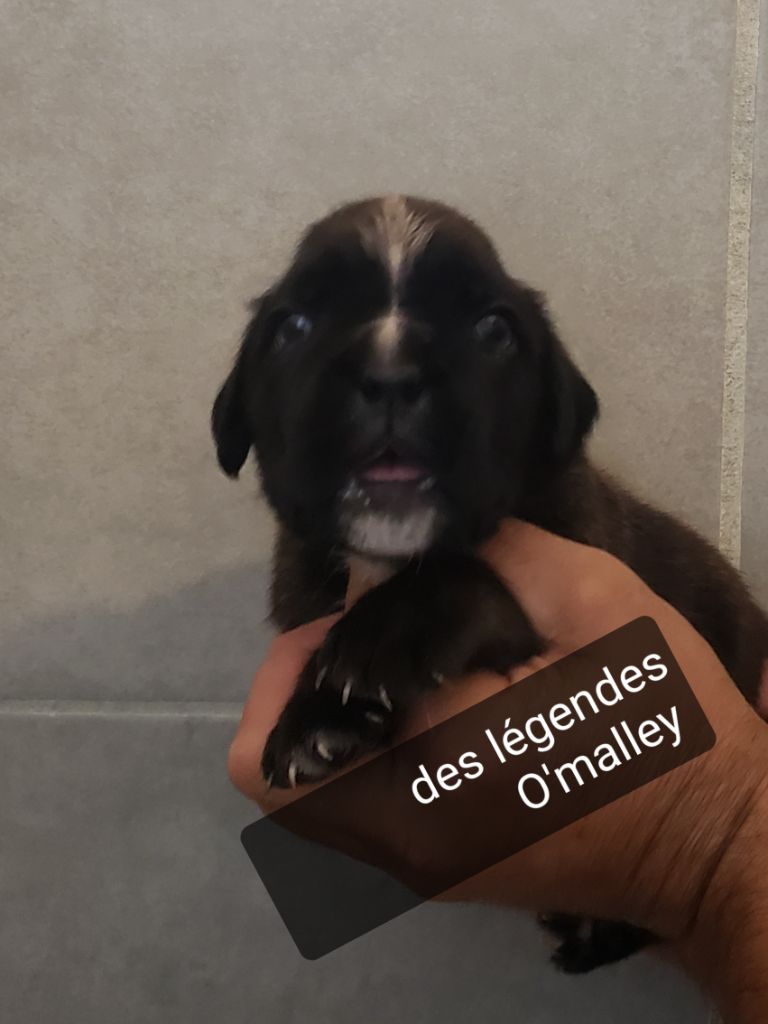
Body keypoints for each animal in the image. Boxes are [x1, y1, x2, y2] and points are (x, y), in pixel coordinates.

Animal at [212, 195, 768, 972]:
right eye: (292, 327)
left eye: (494, 330)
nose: (390, 374)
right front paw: (320, 717)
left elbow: (465, 578)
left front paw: (377, 643)